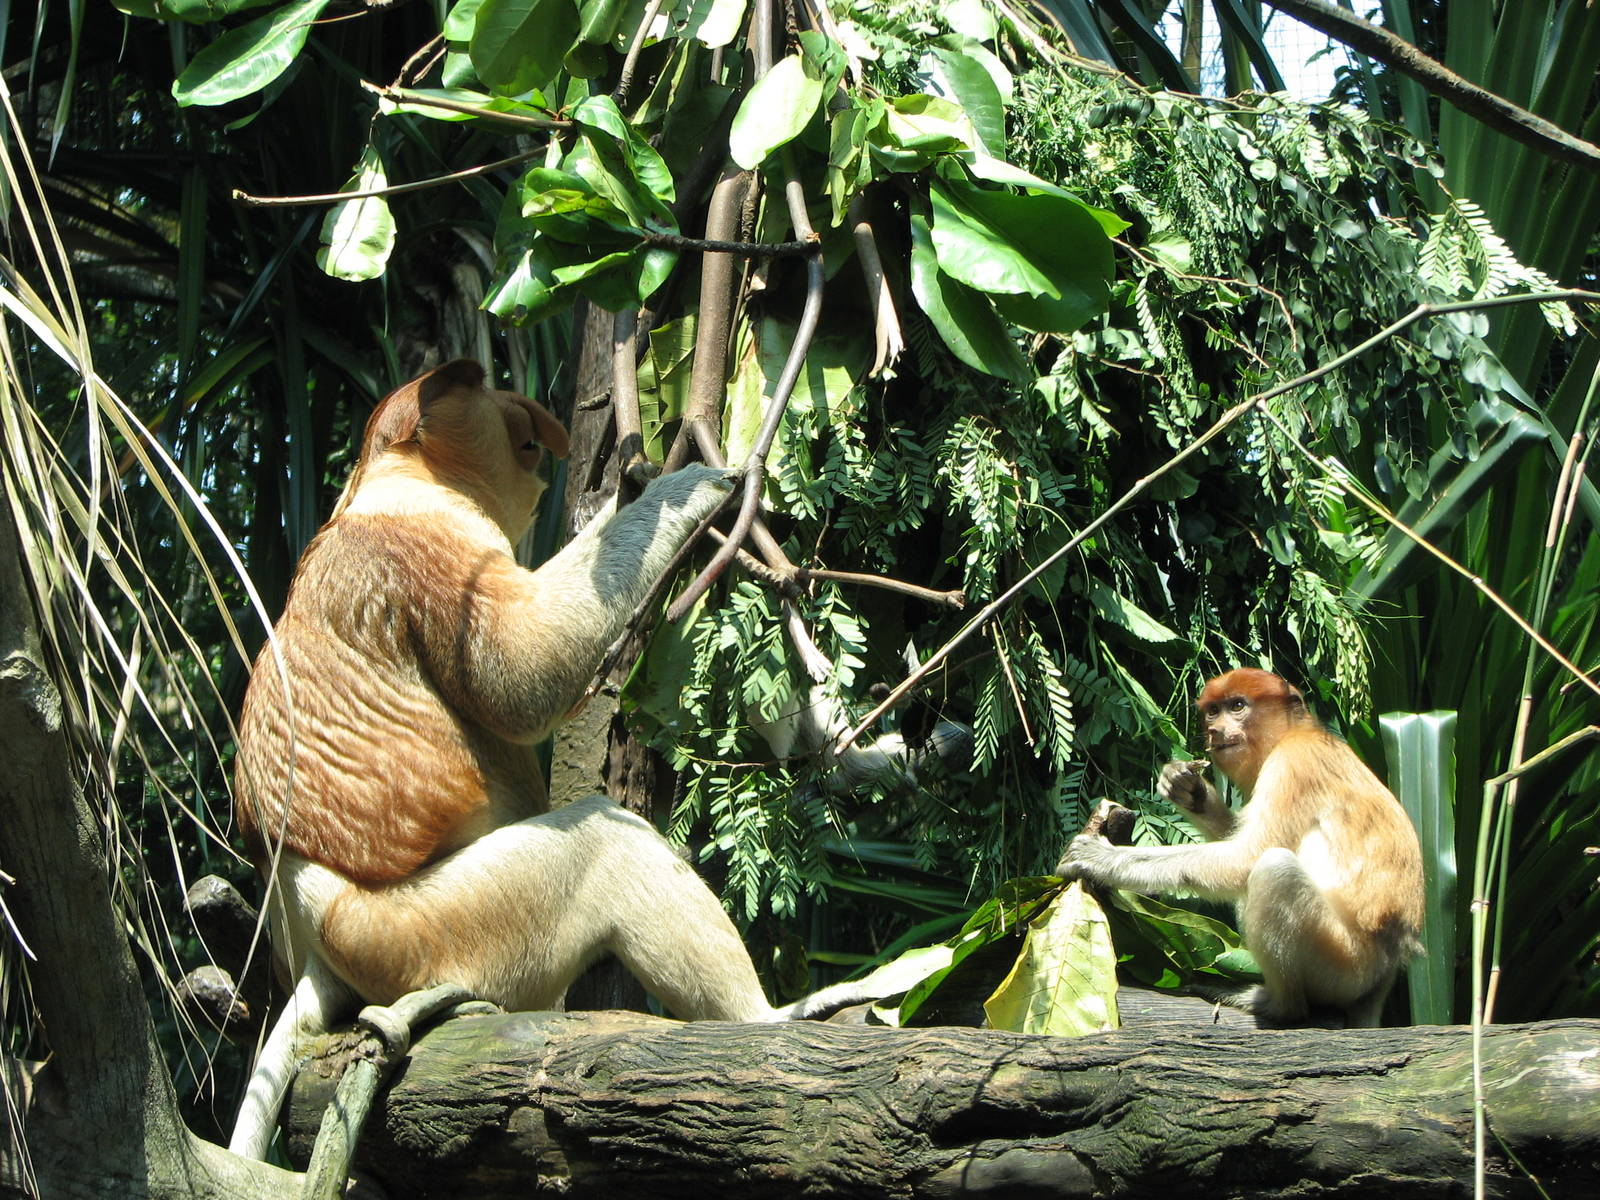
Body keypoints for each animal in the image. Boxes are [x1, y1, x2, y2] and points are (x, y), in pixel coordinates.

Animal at [228, 360, 864, 1159]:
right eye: (480, 388)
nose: (530, 414)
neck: (385, 479)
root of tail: (312, 940)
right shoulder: (439, 545)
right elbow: (522, 675)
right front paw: (688, 488)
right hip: (424, 937)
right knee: (605, 846)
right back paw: (772, 1017)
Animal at [1058, 668, 1423, 1027]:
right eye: (1212, 711)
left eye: (1237, 706)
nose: (1215, 730)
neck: (1294, 733)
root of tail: (1388, 966)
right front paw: (1188, 789)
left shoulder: (1293, 764)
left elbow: (1246, 857)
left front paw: (1096, 857)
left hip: (1344, 965)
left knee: (1274, 869)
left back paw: (1276, 1004)